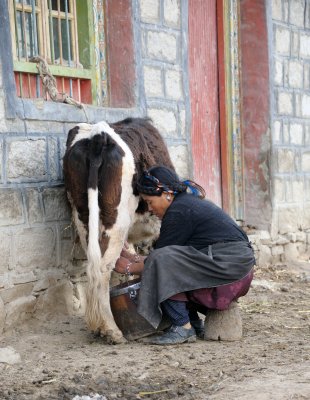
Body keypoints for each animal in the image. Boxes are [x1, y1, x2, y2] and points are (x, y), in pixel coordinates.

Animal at [63, 117, 174, 342]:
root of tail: (98, 135)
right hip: (117, 218)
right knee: (102, 268)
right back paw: (111, 330)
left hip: (83, 217)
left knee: (94, 265)